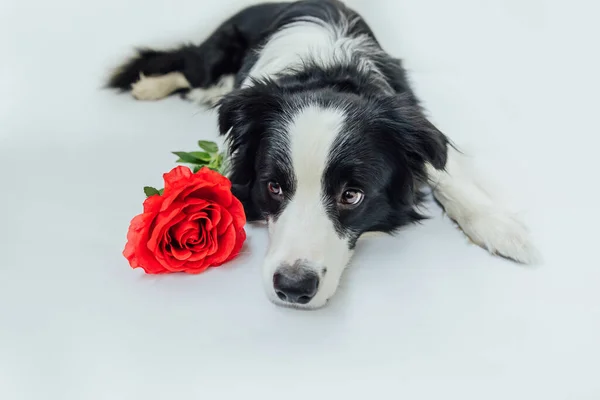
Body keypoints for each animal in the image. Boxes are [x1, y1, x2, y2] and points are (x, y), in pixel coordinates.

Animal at [106, 0, 540, 310]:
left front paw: (501, 228)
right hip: (214, 54)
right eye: (274, 187)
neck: (329, 73)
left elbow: (448, 169)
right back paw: (153, 87)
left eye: (352, 195)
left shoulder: (414, 118)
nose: (293, 288)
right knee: (188, 66)